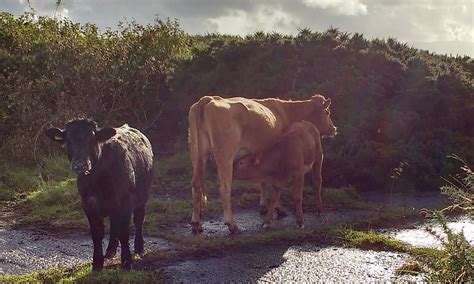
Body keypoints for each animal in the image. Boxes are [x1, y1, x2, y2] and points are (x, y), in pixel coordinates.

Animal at [45, 118, 153, 270]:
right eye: (68, 141)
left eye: (92, 139)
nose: (80, 165)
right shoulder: (88, 204)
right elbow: (97, 234)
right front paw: (97, 263)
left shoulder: (126, 201)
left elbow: (124, 232)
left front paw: (126, 261)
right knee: (114, 225)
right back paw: (110, 251)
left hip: (142, 195)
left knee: (138, 219)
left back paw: (139, 248)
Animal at [189, 94, 336, 234]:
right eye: (327, 112)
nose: (334, 128)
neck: (286, 112)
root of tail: (209, 99)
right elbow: (270, 182)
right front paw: (276, 208)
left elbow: (264, 182)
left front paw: (265, 207)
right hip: (225, 156)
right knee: (224, 186)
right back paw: (232, 225)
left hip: (197, 156)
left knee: (196, 184)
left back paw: (196, 223)